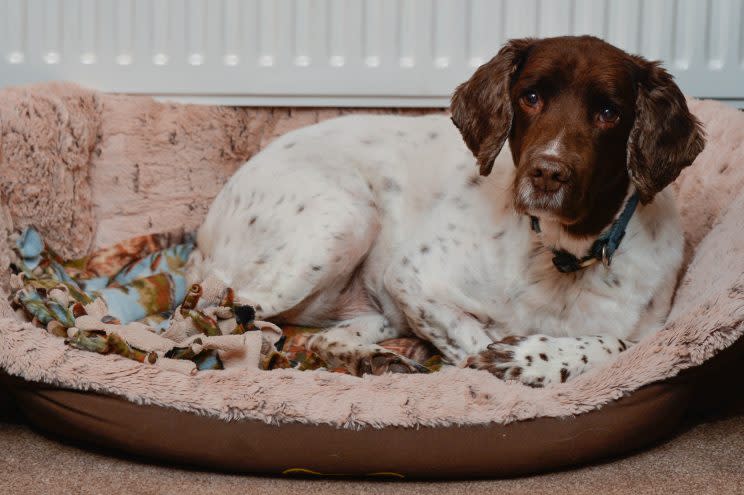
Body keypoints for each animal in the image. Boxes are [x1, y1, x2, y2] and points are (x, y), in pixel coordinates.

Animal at [189, 37, 708, 388]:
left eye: (608, 112)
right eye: (531, 97)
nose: (547, 173)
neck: (561, 254)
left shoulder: (653, 331)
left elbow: (615, 343)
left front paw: (528, 359)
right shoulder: (411, 277)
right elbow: (473, 341)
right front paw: (509, 358)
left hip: (370, 304)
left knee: (311, 337)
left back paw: (373, 359)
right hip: (344, 220)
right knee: (222, 314)